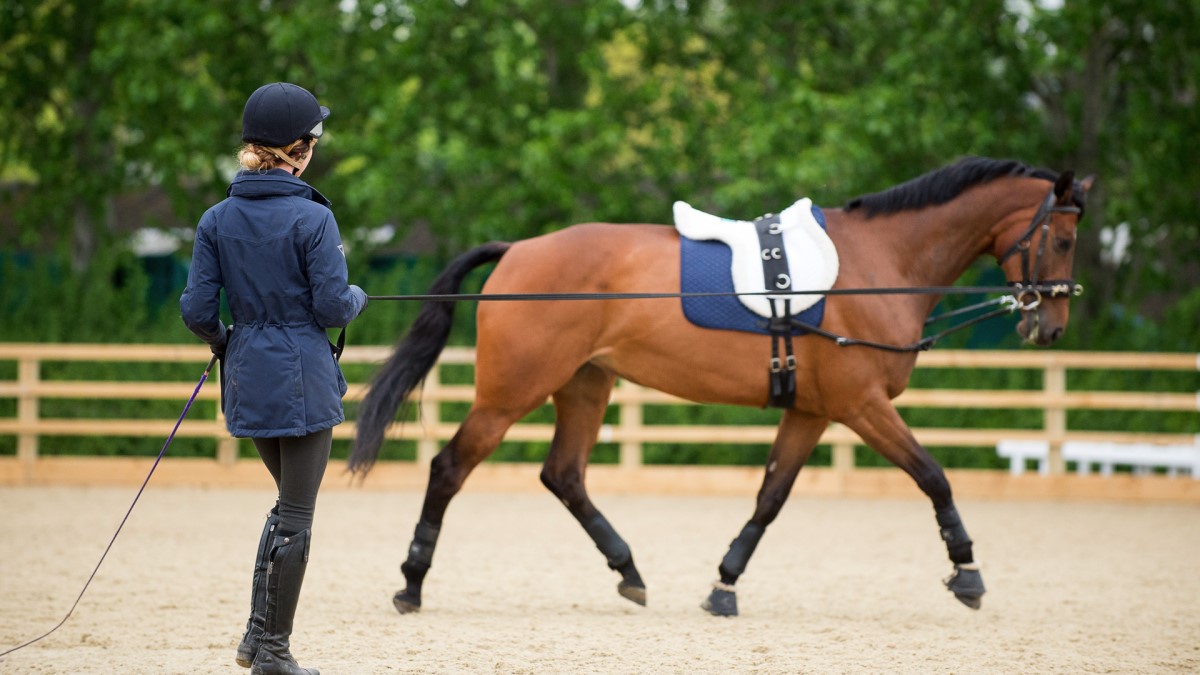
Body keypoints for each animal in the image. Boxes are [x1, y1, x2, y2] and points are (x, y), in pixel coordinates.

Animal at [349, 156, 1093, 617]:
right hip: (512, 393)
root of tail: (519, 250)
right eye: (1060, 238)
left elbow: (771, 495)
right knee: (450, 467)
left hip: (586, 384)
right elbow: (933, 475)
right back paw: (411, 583)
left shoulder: (814, 412)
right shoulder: (861, 405)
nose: (1051, 327)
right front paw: (967, 571)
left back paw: (629, 572)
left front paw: (724, 584)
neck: (881, 265)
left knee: (564, 475)